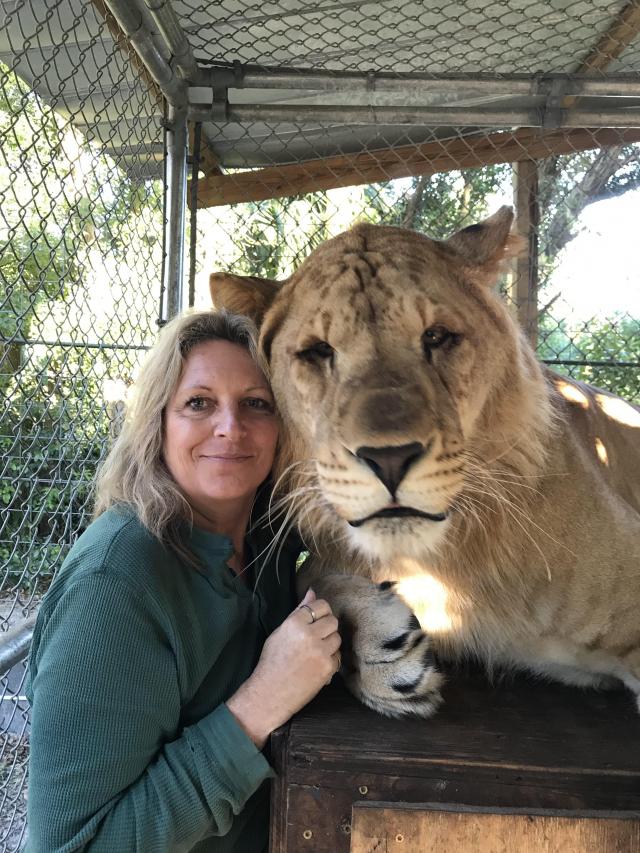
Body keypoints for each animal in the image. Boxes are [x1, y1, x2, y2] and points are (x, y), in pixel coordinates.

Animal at [210, 206, 640, 718]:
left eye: (436, 336)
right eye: (318, 351)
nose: (390, 459)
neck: (451, 566)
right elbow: (308, 579)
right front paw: (383, 654)